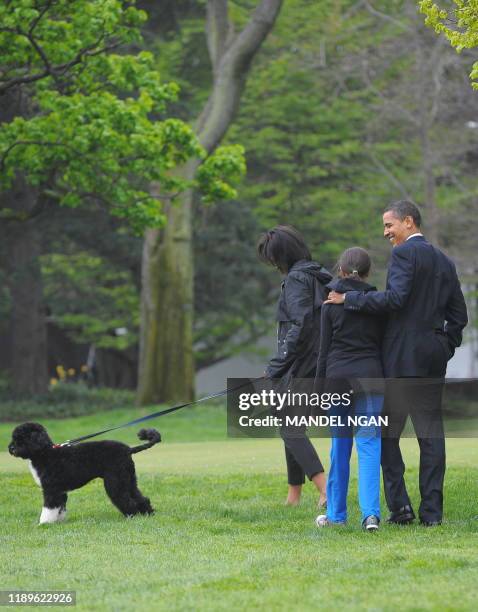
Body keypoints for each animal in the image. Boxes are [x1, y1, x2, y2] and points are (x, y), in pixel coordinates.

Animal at [8, 424, 162, 524]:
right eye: (14, 438)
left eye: (21, 438)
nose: (11, 448)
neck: (44, 454)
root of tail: (129, 450)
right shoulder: (60, 492)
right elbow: (60, 508)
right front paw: (59, 521)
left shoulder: (51, 490)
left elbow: (49, 508)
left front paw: (44, 523)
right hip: (128, 480)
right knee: (141, 498)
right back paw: (148, 513)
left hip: (115, 482)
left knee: (127, 500)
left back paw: (132, 516)